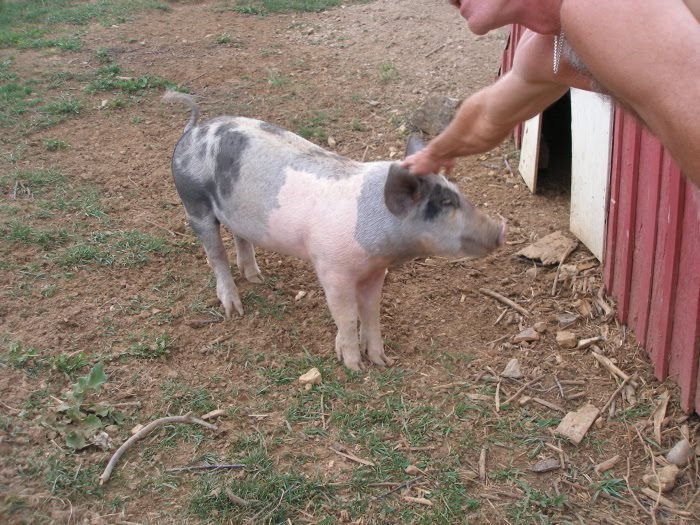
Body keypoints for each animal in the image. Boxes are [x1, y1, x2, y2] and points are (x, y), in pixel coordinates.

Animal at [164, 91, 505, 371]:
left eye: (457, 191)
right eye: (445, 203)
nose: (500, 230)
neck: (382, 245)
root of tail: (191, 132)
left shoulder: (374, 272)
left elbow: (370, 312)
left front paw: (382, 360)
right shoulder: (332, 269)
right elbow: (346, 315)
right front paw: (354, 367)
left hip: (236, 211)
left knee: (240, 238)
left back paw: (256, 278)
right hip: (194, 204)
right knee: (215, 257)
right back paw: (235, 310)